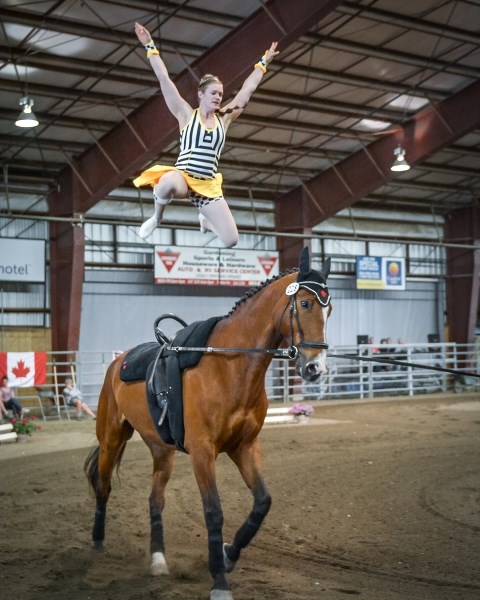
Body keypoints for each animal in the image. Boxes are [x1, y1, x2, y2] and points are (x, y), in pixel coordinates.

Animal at [84, 245, 332, 600]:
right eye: (306, 303)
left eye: (330, 309)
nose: (315, 368)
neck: (228, 365)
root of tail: (119, 362)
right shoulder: (203, 452)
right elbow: (213, 512)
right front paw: (219, 582)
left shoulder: (244, 447)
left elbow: (262, 503)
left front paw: (228, 555)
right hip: (112, 439)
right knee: (103, 486)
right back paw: (97, 545)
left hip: (162, 451)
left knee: (155, 499)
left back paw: (158, 560)